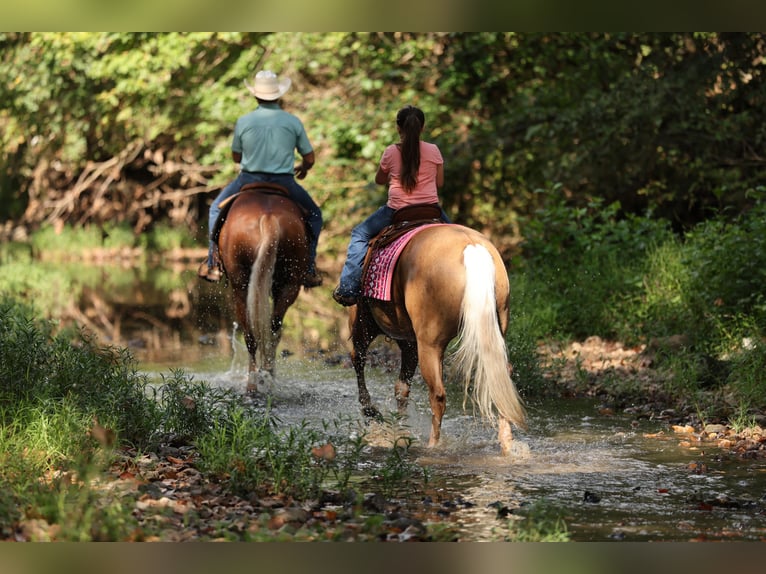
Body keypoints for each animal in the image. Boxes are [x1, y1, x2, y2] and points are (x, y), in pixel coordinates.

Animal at [216, 184, 311, 392]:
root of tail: (268, 217)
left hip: (241, 287)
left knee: (251, 335)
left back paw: (253, 382)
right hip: (289, 284)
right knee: (274, 326)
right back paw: (266, 376)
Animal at [347, 223, 526, 455]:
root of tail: (472, 247)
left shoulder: (365, 327)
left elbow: (360, 363)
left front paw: (373, 413)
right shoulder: (409, 343)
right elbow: (401, 388)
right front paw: (399, 431)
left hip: (429, 345)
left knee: (437, 394)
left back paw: (432, 445)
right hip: (494, 332)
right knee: (500, 378)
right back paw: (506, 441)